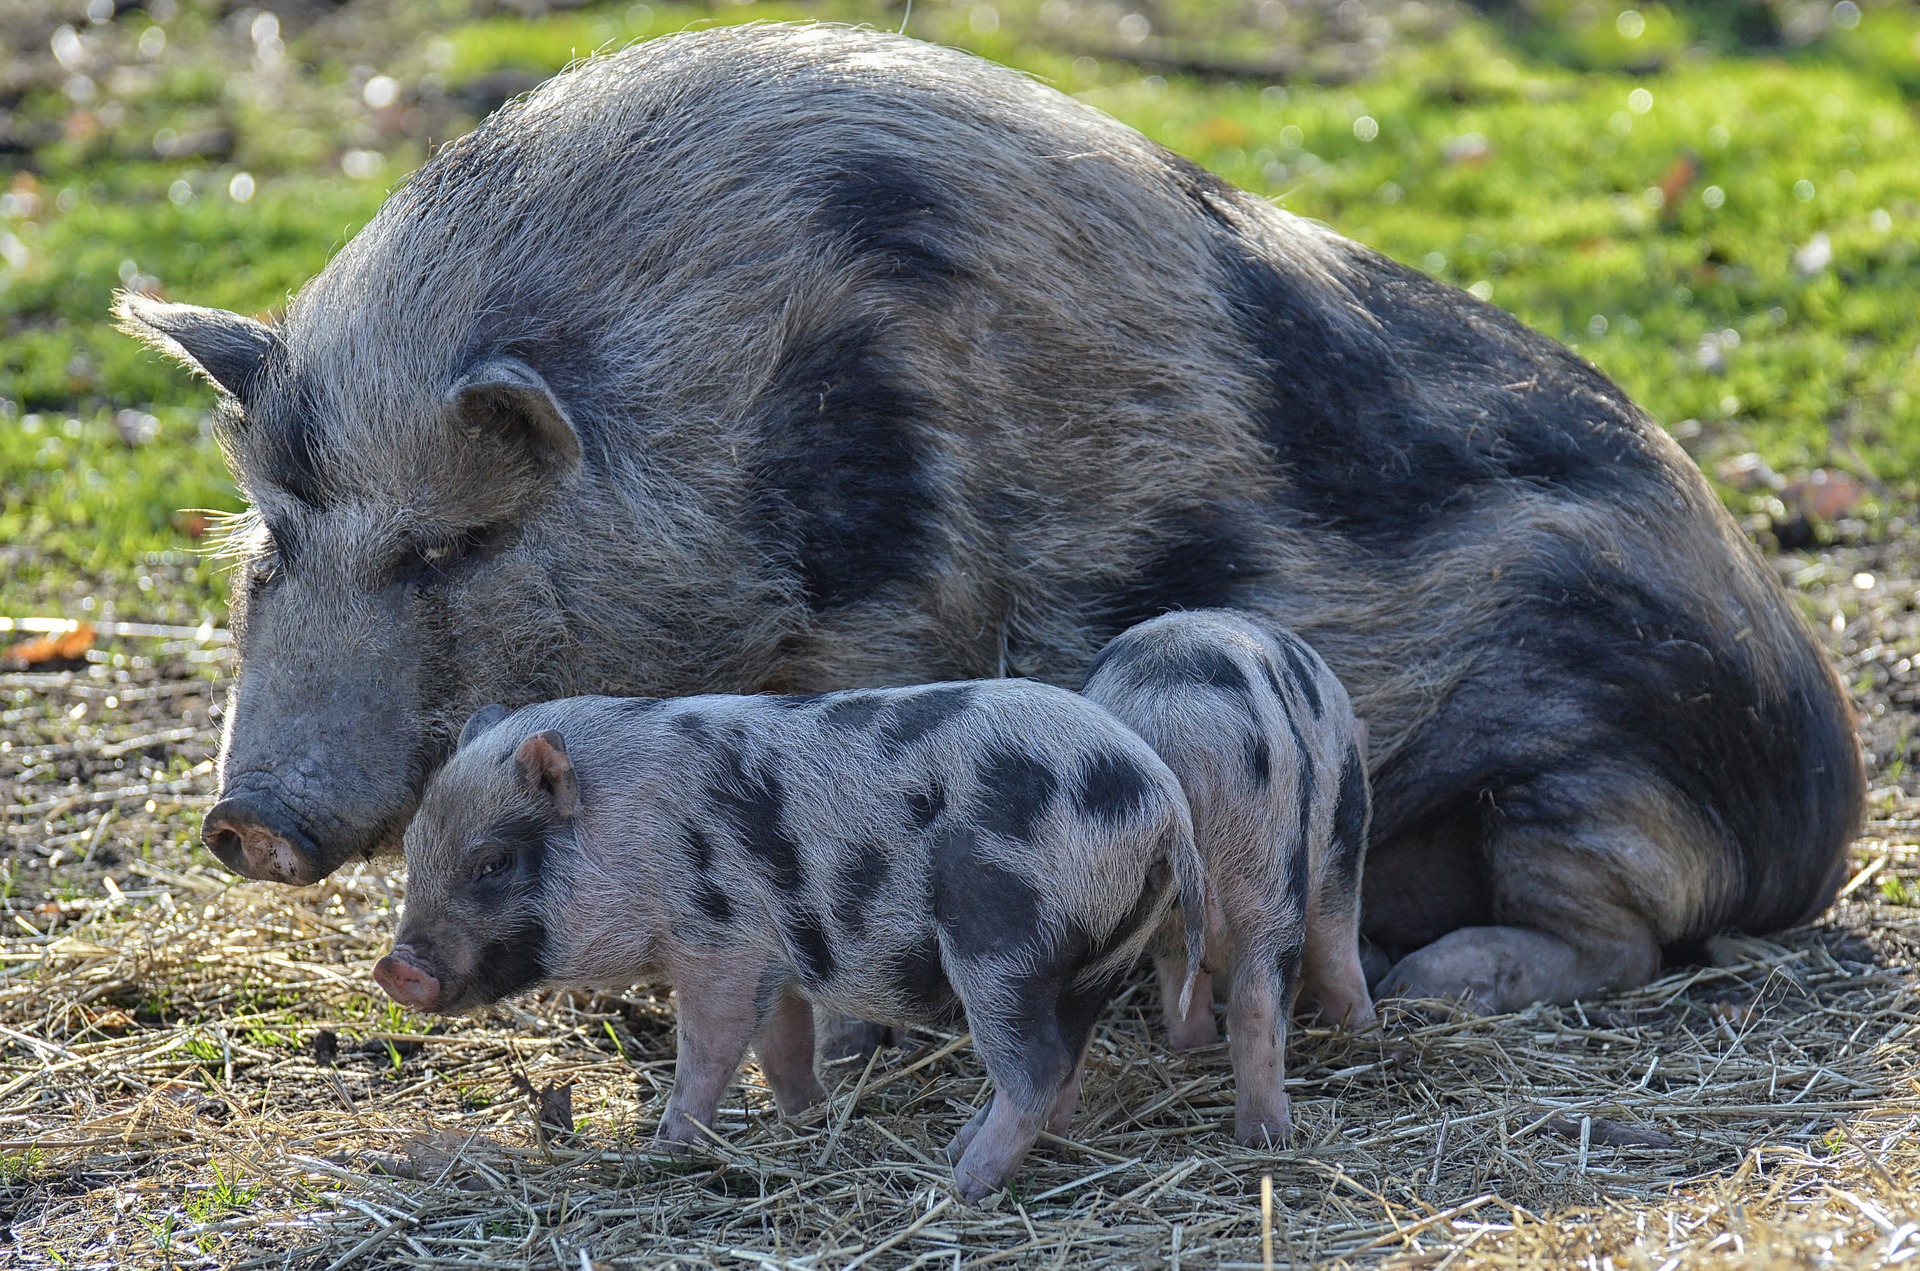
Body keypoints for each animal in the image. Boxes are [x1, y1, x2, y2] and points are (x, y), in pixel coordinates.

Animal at [116, 19, 1858, 1013]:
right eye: (273, 545)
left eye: (446, 546)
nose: (245, 817)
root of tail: (1827, 810)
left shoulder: (897, 618)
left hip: (1607, 767)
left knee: (1622, 928)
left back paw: (1444, 984)